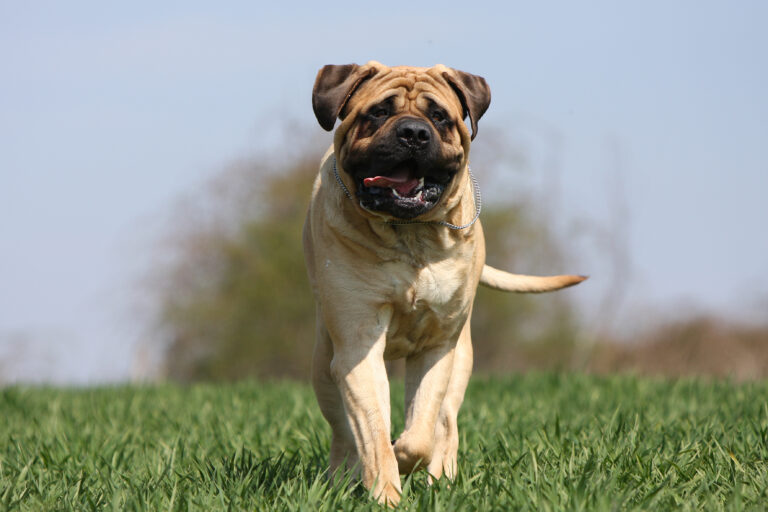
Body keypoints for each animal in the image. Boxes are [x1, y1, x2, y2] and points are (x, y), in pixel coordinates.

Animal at [304, 61, 584, 504]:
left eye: (439, 117)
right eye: (379, 112)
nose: (413, 133)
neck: (409, 235)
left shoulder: (438, 346)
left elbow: (421, 430)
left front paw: (407, 458)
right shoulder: (356, 345)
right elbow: (372, 429)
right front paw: (385, 491)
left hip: (461, 357)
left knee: (446, 423)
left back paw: (442, 478)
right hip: (324, 364)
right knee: (344, 432)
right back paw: (345, 476)